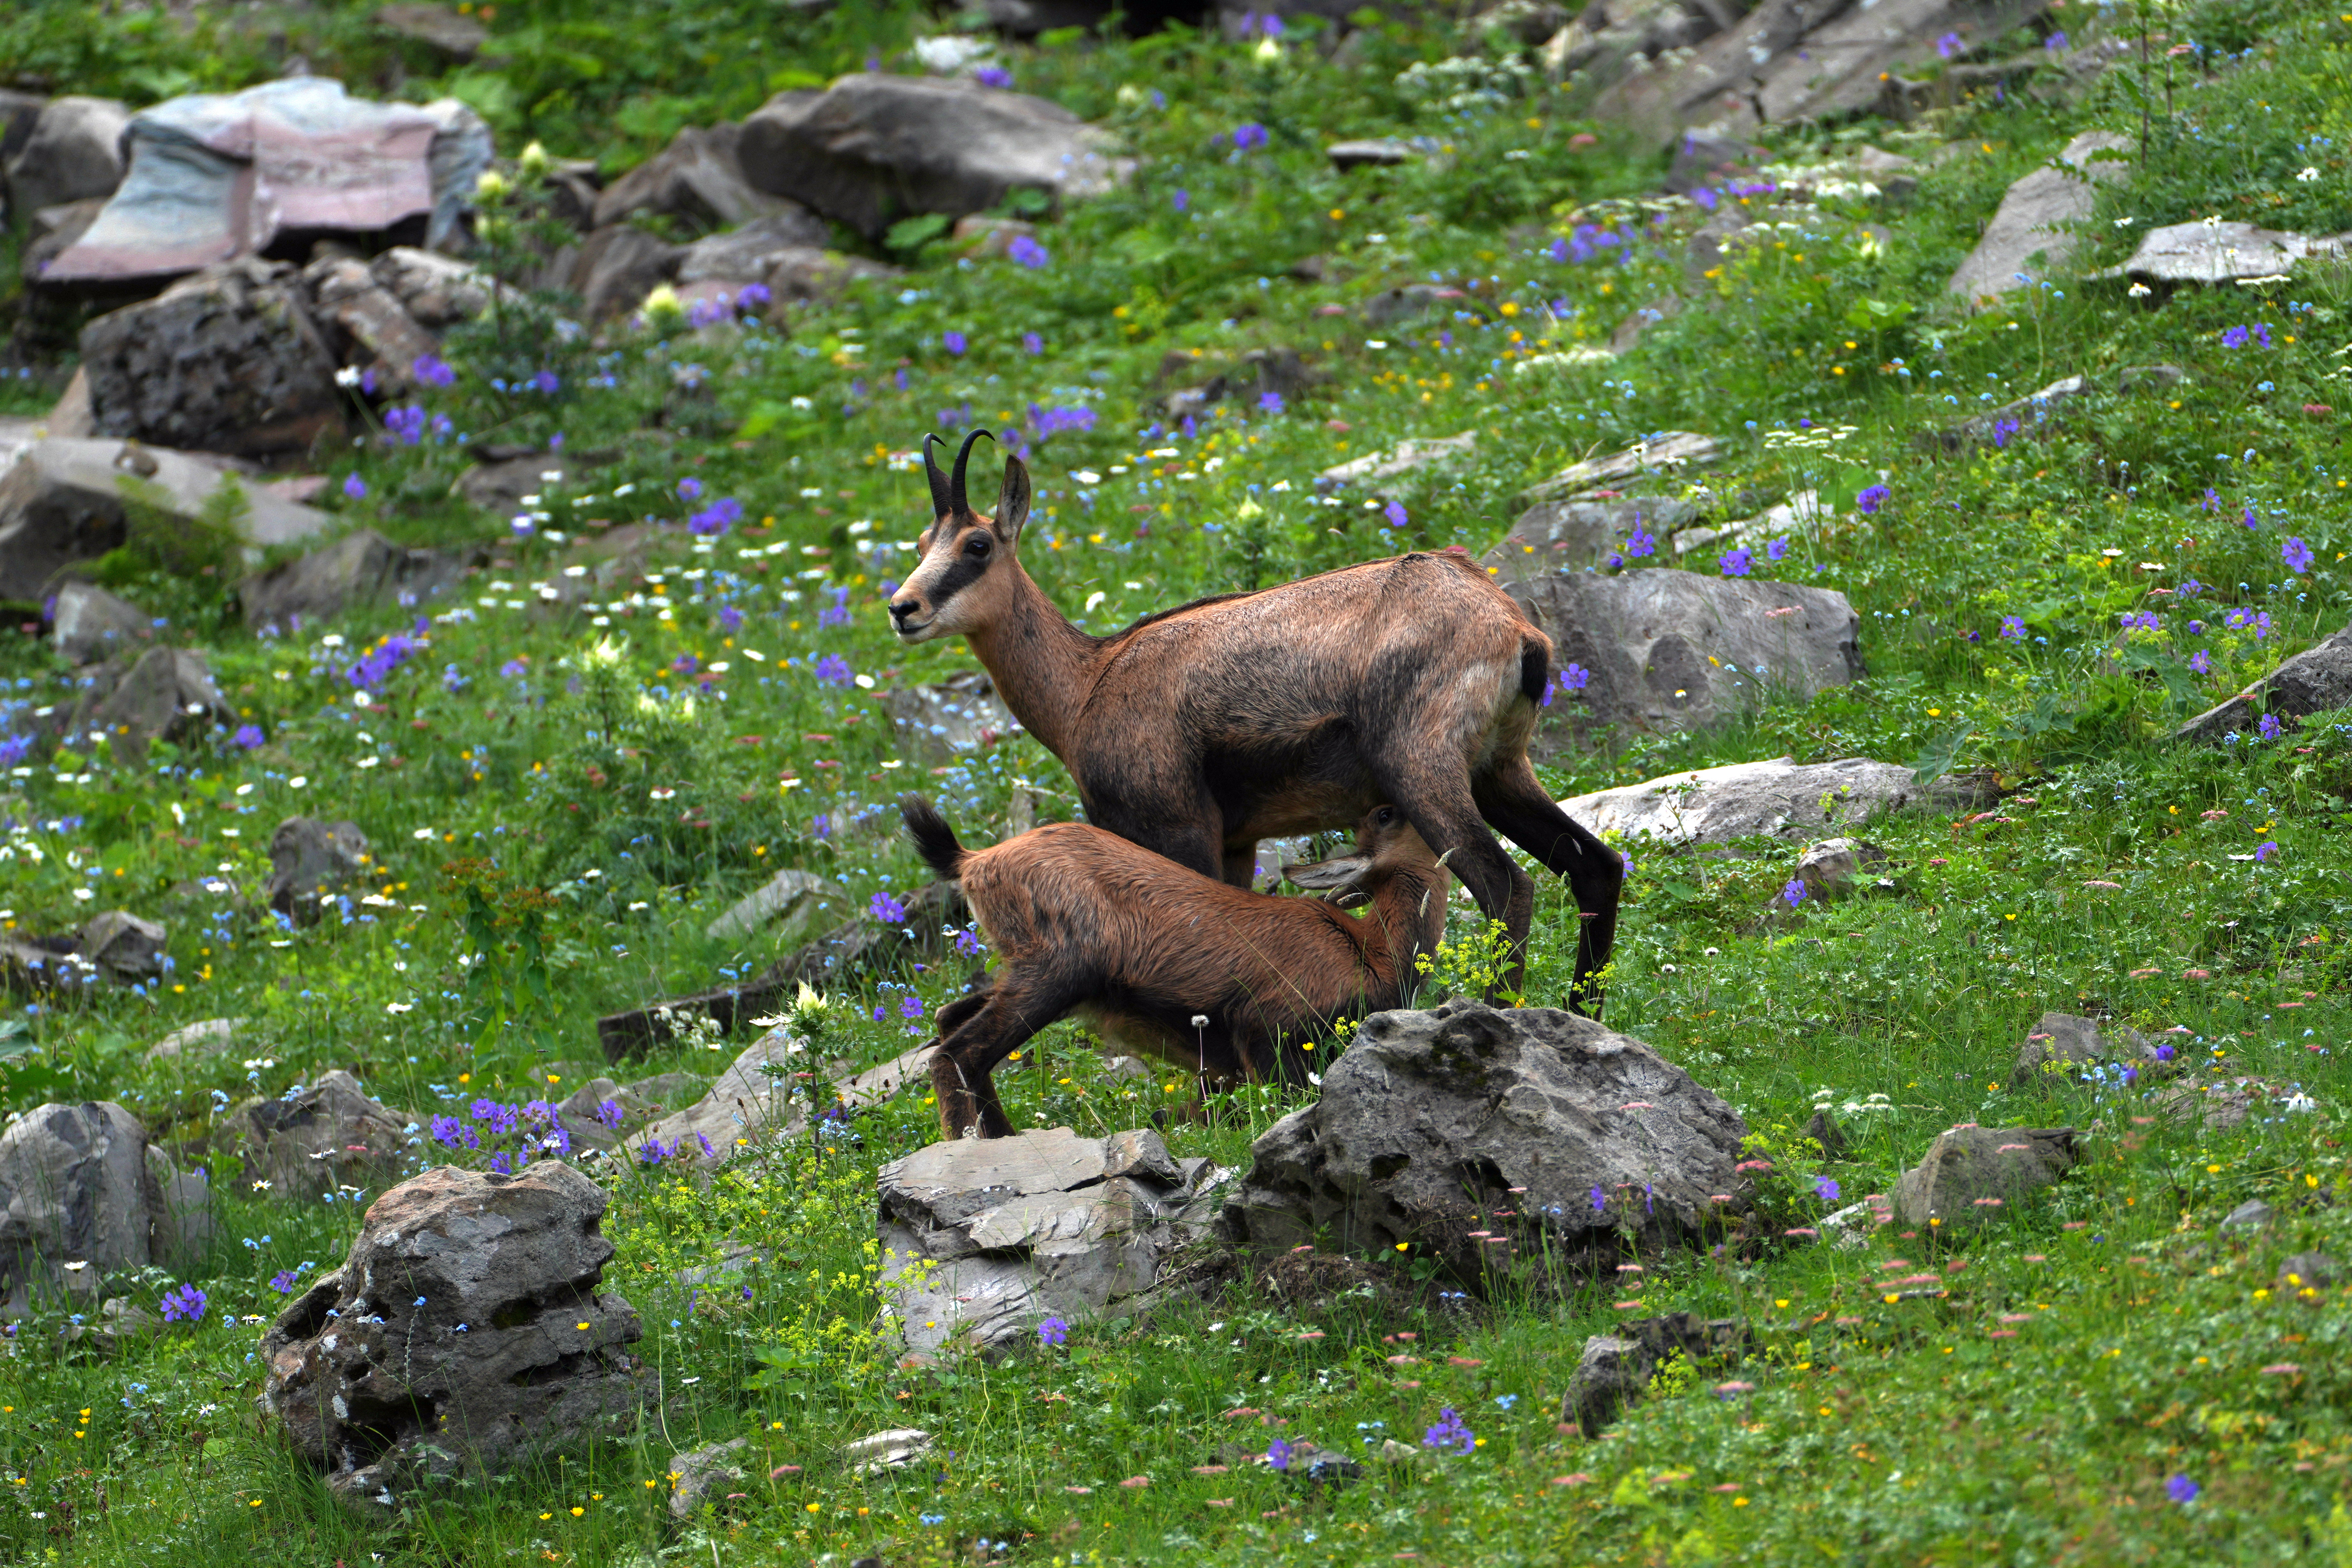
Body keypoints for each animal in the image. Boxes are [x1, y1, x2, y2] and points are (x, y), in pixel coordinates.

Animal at [889, 435, 1627, 1011]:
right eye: (923, 542)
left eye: (977, 545)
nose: (903, 608)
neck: (1087, 685)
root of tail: (1515, 630)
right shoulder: (1238, 842)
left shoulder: (1180, 828)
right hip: (1498, 771)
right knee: (1595, 865)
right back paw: (1583, 1011)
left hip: (1424, 770)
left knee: (1507, 885)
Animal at [903, 799, 1439, 1142]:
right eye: (1385, 815)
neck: (1370, 951)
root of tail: (973, 862)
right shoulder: (1265, 1029)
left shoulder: (1228, 1063)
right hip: (1058, 969)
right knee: (959, 1052)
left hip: (1035, 973)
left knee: (950, 1017)